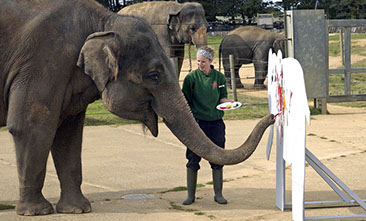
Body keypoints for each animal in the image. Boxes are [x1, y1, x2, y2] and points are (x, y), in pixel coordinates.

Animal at [0, 0, 274, 217]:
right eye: (154, 76)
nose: (273, 115)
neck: (104, 22)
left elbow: (69, 135)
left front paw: (78, 210)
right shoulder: (42, 61)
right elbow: (30, 126)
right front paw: (36, 212)